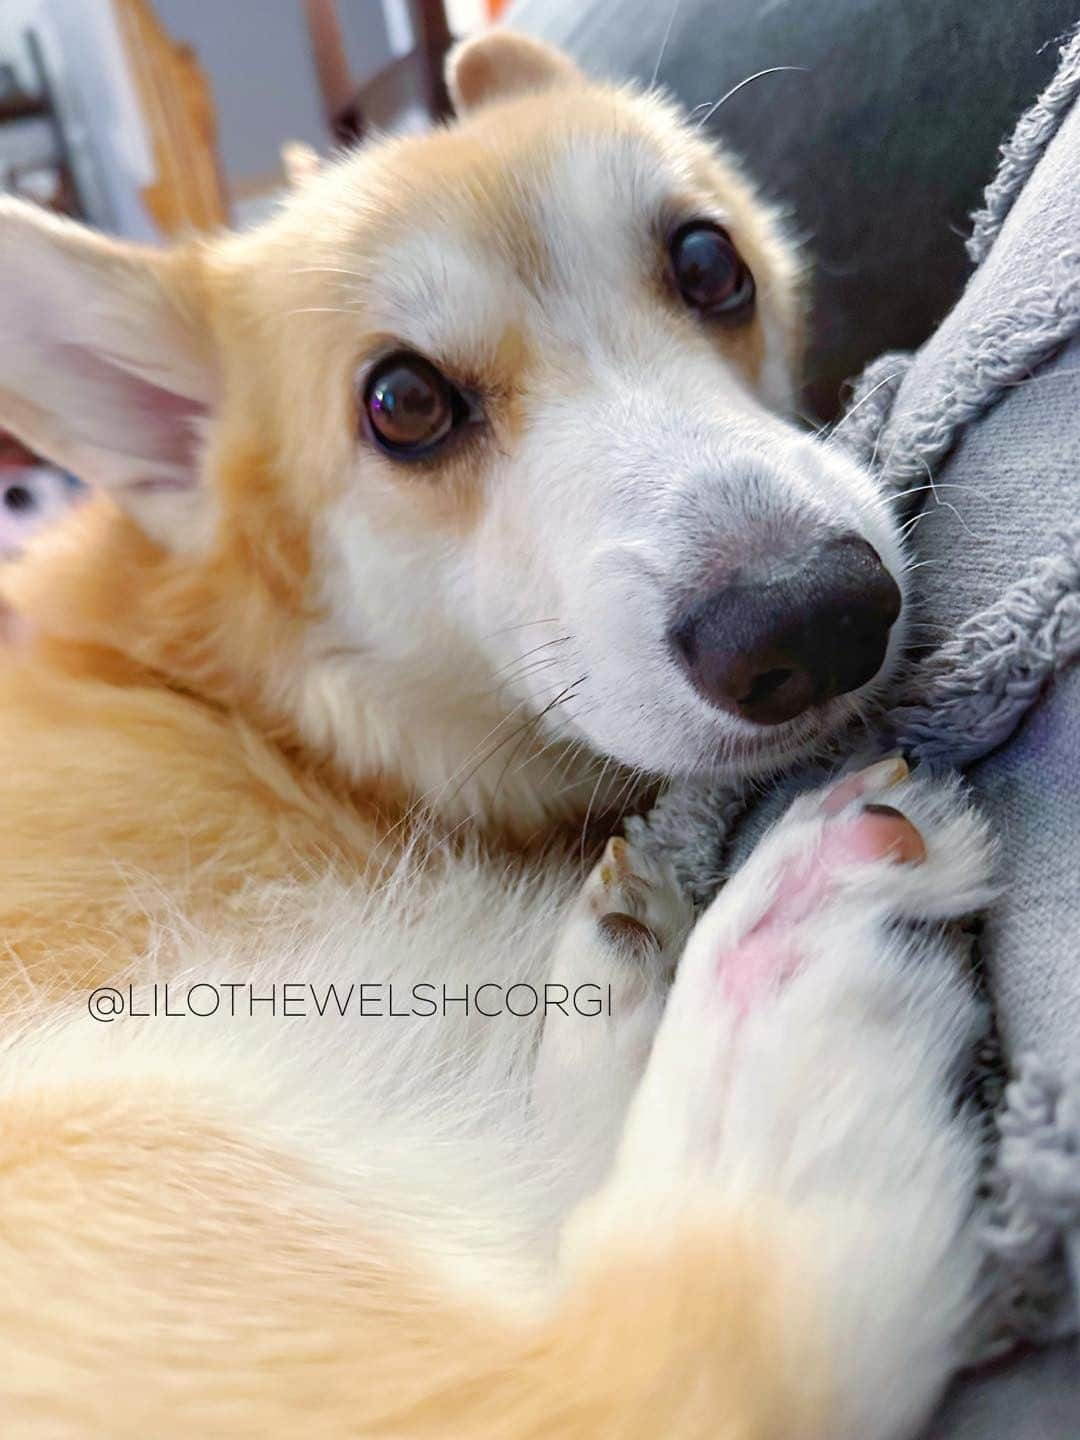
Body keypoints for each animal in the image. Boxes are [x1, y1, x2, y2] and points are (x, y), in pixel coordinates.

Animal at [0, 30, 996, 1440]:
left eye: (710, 263)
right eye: (403, 403)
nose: (815, 618)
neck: (262, 715)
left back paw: (625, 977)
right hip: (129, 1127)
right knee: (661, 1358)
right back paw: (795, 951)